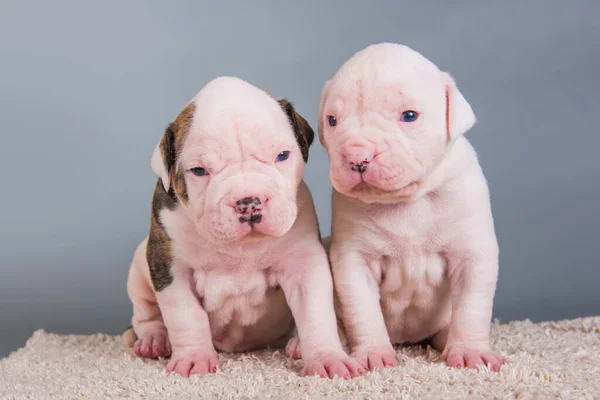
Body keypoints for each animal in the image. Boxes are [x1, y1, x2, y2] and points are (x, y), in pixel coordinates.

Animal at [318, 43, 506, 372]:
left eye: (409, 115)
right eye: (332, 121)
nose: (357, 155)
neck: (405, 201)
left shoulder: (472, 253)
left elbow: (472, 306)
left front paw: (471, 351)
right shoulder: (354, 259)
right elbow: (362, 310)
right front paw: (373, 352)